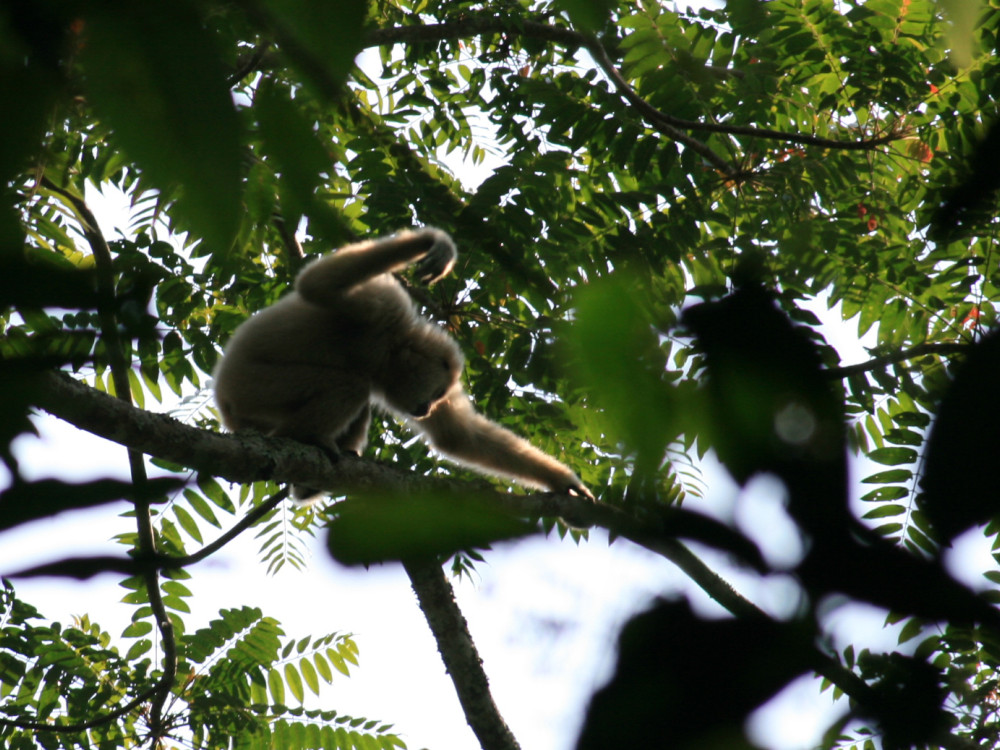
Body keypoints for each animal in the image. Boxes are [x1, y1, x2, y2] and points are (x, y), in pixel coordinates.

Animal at [213, 226, 592, 502]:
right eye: (435, 393)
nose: (427, 408)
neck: (389, 345)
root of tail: (224, 398)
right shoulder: (383, 304)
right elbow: (317, 284)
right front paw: (431, 241)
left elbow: (458, 436)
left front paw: (562, 482)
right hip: (254, 387)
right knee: (350, 385)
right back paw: (302, 436)